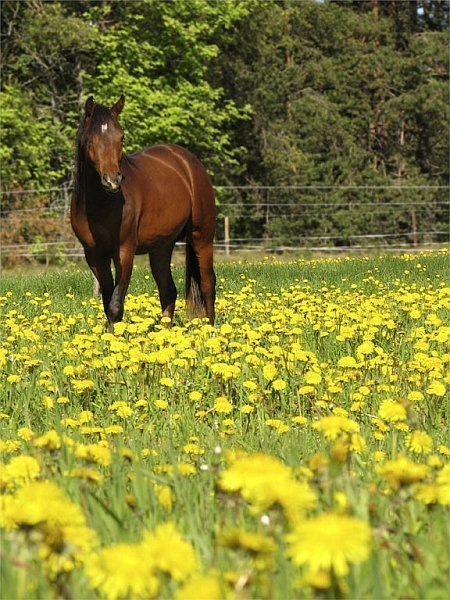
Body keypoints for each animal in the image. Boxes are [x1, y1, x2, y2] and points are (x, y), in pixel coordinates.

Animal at [71, 95, 216, 330]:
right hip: (161, 247)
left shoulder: (124, 251)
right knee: (168, 291)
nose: (112, 180)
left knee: (207, 285)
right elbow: (107, 302)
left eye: (121, 137)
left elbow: (115, 304)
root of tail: (188, 161)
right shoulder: (94, 255)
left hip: (201, 237)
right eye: (91, 139)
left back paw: (211, 331)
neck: (101, 204)